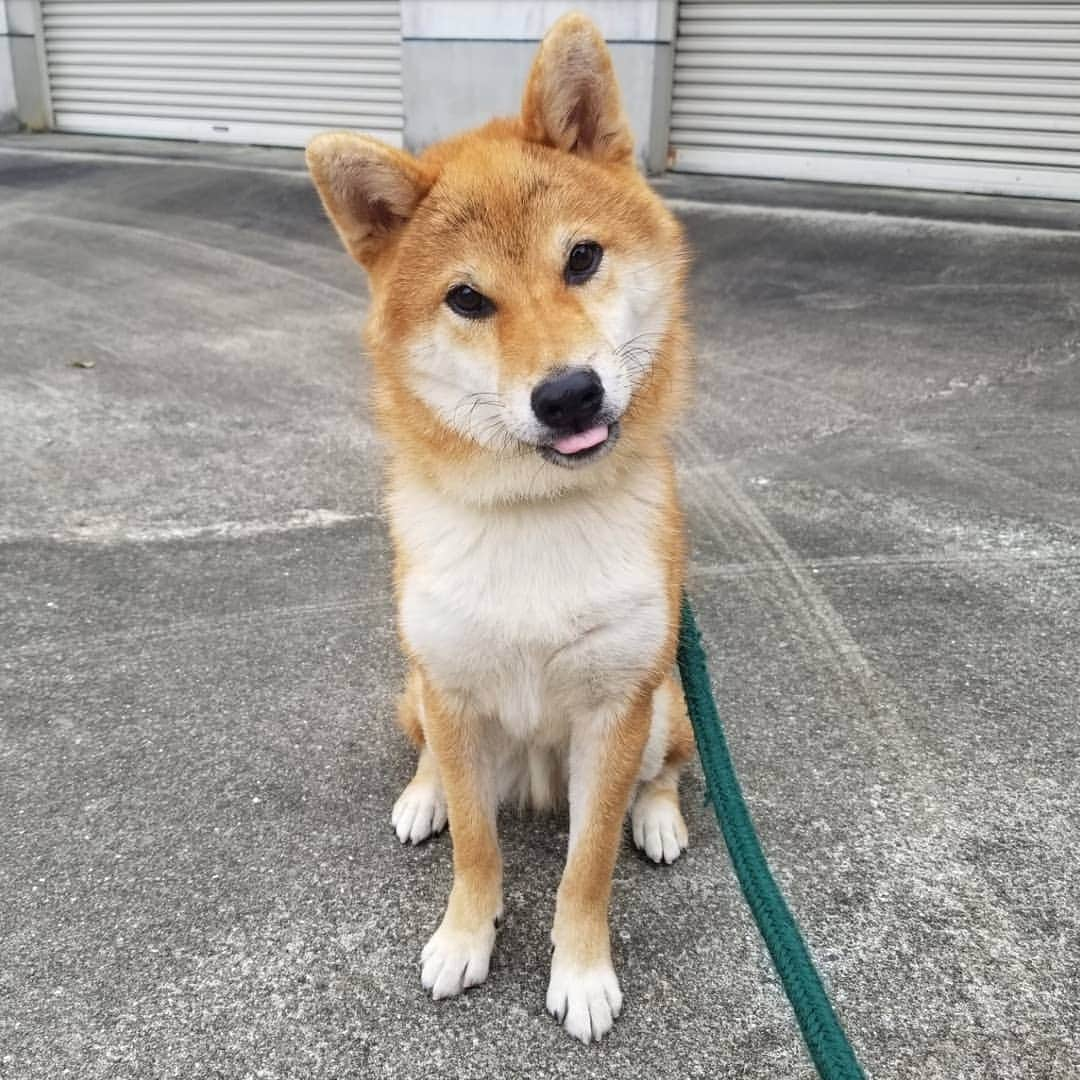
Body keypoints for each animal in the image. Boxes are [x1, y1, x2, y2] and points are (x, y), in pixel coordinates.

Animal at [306, 12, 691, 1045]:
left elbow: (586, 865)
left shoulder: (617, 709)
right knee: (437, 759)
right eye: (468, 300)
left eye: (583, 258)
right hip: (418, 687)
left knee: (668, 772)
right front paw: (464, 937)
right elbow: (478, 849)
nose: (569, 396)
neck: (533, 516)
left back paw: (661, 817)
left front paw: (583, 973)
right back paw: (424, 795)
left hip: (669, 704)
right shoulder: (451, 686)